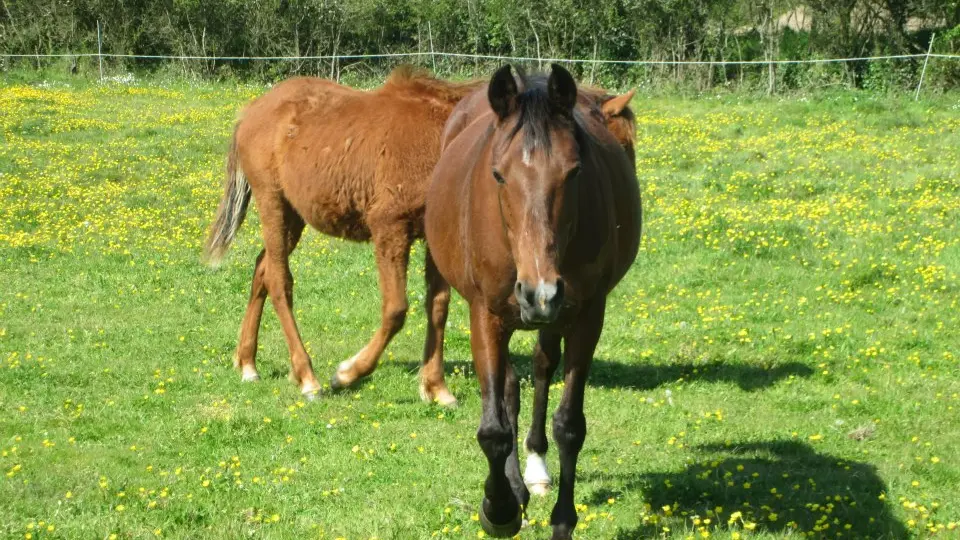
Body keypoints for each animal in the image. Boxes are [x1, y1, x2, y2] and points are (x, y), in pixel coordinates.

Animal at [424, 64, 640, 540]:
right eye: (498, 174)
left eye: (574, 172)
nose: (539, 292)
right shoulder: (484, 314)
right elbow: (494, 427)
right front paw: (499, 507)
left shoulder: (586, 316)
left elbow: (569, 425)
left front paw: (562, 519)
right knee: (509, 388)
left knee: (541, 369)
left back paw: (537, 469)